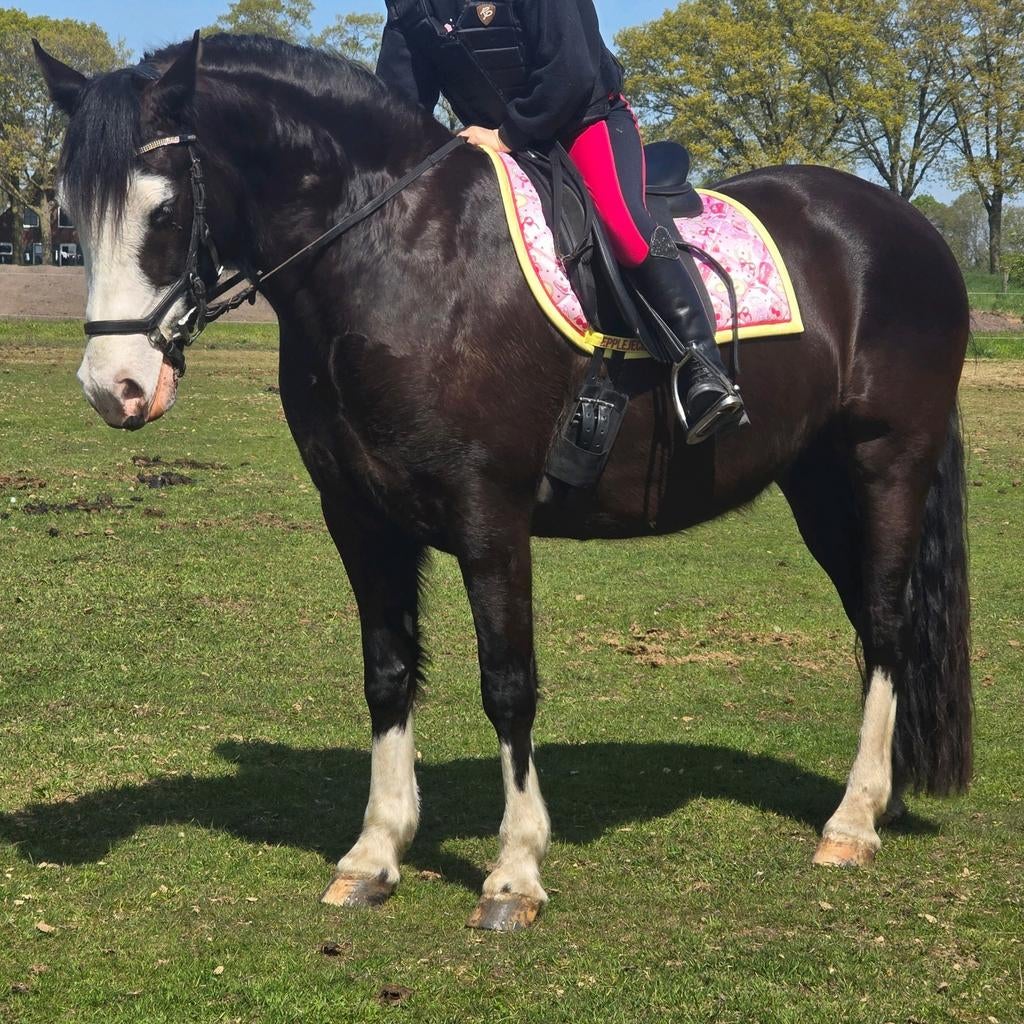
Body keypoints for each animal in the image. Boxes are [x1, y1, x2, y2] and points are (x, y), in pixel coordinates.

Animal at [34, 32, 972, 931]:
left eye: (163, 210)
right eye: (70, 214)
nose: (113, 388)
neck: (397, 258)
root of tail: (909, 227)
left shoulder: (489, 515)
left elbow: (509, 685)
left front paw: (515, 873)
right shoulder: (361, 518)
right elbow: (387, 672)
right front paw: (375, 855)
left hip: (886, 463)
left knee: (888, 625)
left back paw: (852, 822)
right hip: (818, 485)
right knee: (871, 629)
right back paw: (872, 800)